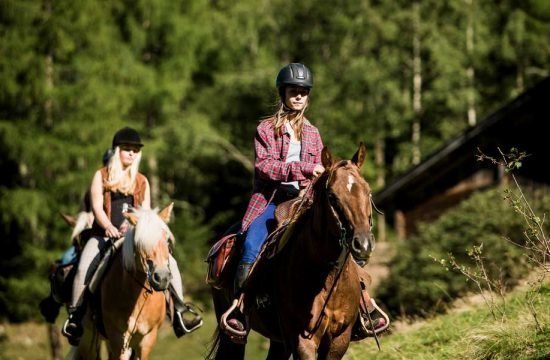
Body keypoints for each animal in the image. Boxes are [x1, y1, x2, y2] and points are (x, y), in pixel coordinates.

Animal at [71, 204, 175, 358]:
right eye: (140, 242)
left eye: (167, 241)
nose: (162, 278)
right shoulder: (118, 339)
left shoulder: (147, 340)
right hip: (87, 338)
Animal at [209, 143, 378, 360]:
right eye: (332, 196)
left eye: (368, 191)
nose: (363, 244)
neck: (326, 278)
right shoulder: (301, 340)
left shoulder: (340, 339)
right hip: (233, 335)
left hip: (279, 341)